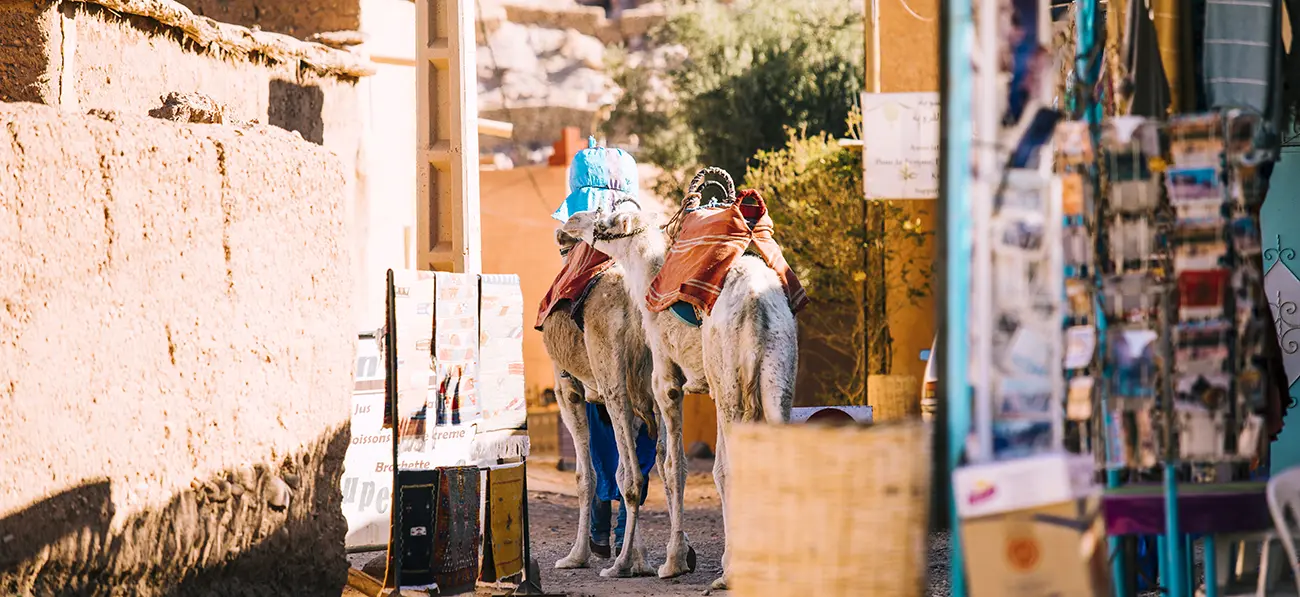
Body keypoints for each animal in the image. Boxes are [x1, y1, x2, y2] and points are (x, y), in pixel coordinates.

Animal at [540, 227, 702, 580]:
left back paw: (621, 563)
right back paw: (676, 557)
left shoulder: (567, 388)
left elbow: (587, 476)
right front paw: (645, 559)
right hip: (659, 374)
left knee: (632, 476)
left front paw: (576, 556)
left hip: (612, 377)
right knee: (672, 465)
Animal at [564, 166, 806, 587]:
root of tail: (758, 306)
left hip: (730, 382)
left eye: (605, 221)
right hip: (780, 371)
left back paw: (730, 572)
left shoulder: (666, 379)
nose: (571, 223)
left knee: (731, 466)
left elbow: (672, 466)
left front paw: (672, 562)